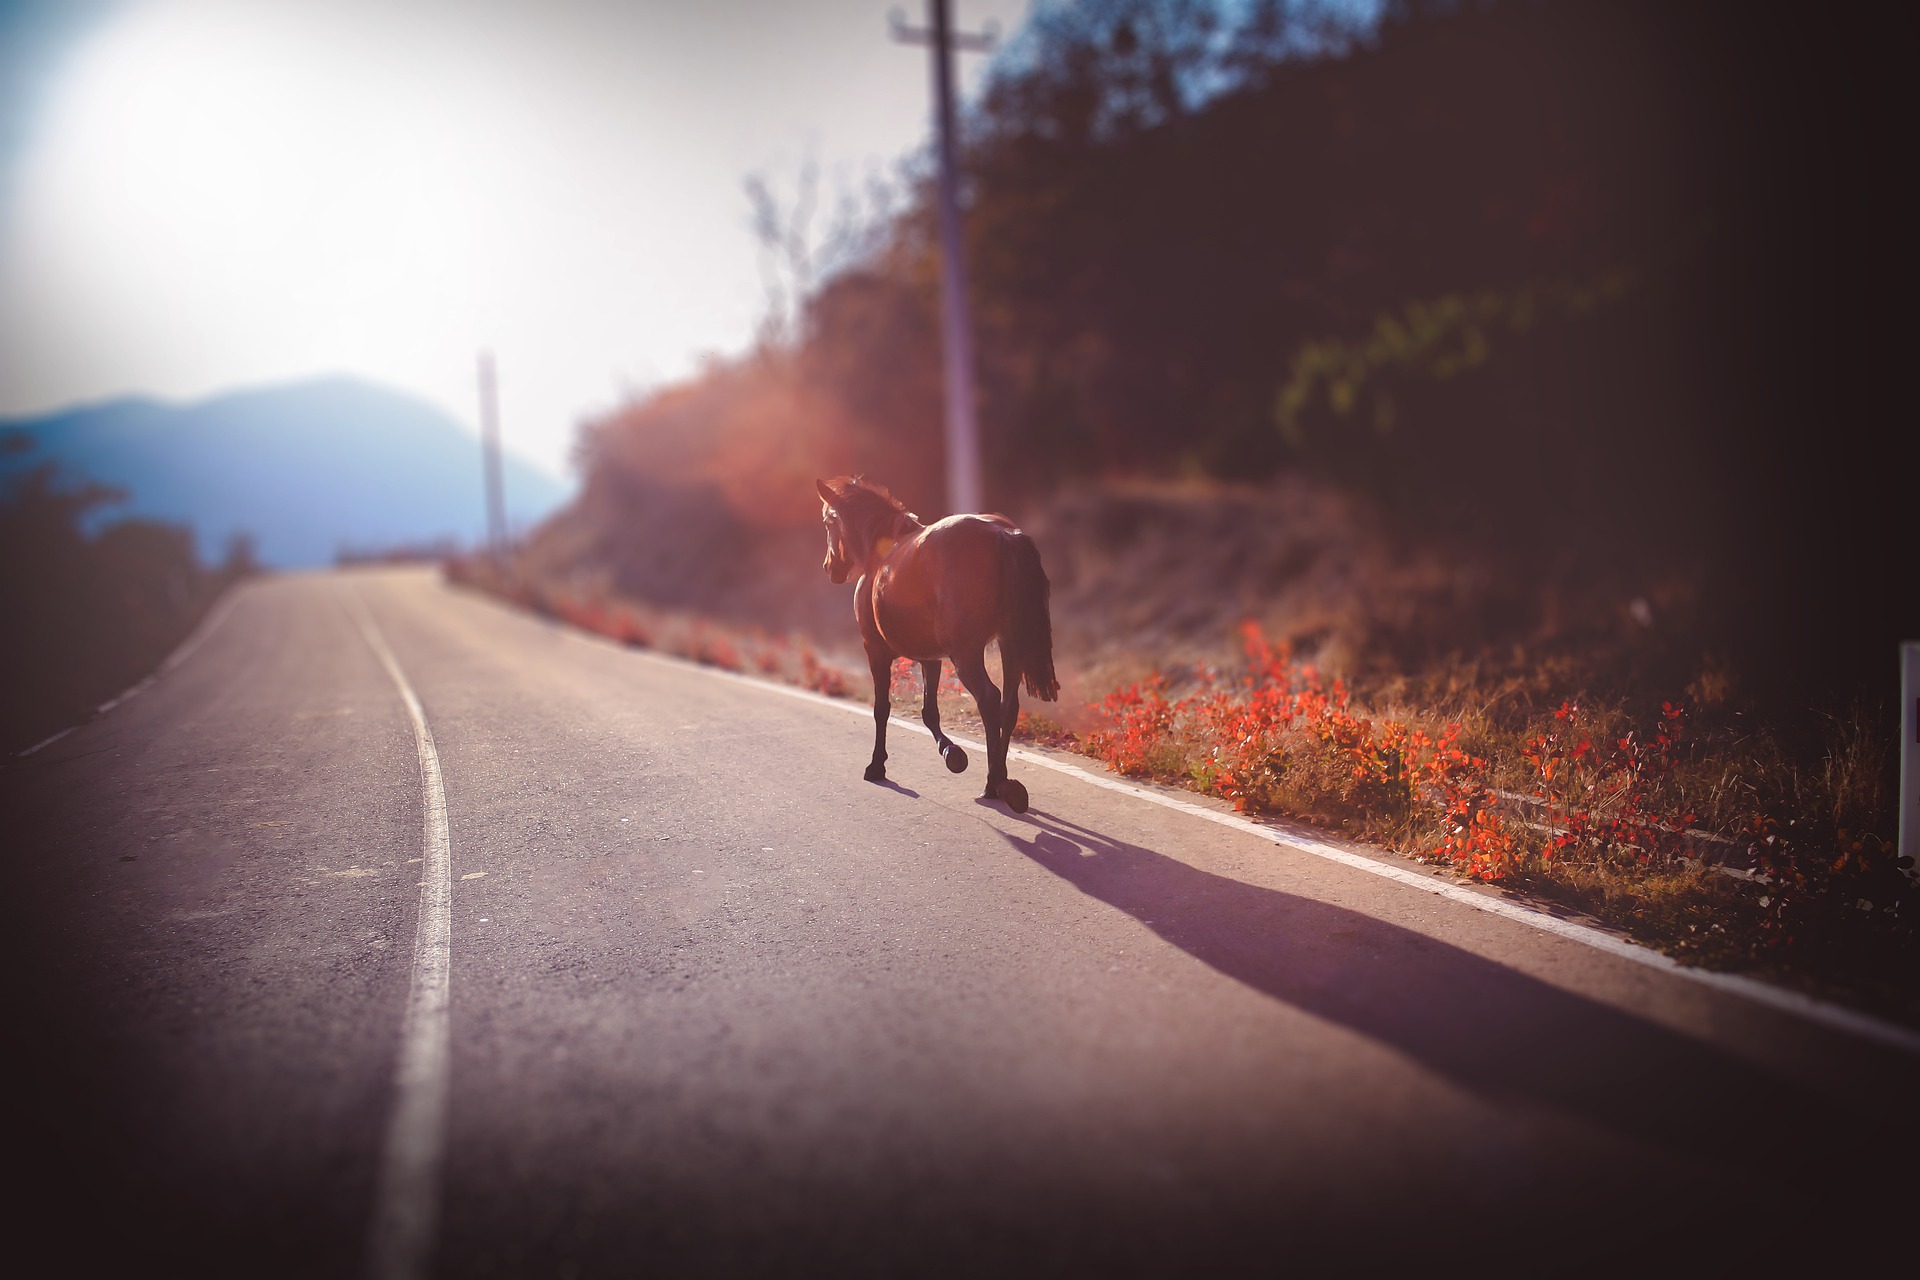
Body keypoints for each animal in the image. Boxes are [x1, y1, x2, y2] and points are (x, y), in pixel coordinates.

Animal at [814, 475, 1067, 817]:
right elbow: (929, 713)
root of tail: (1004, 534)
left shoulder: (876, 652)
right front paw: (952, 754)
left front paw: (877, 766)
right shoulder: (930, 658)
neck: (879, 554)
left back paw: (995, 783)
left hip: (967, 655)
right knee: (1008, 706)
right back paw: (1002, 782)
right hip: (1009, 645)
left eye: (828, 521)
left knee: (989, 699)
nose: (830, 568)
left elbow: (882, 709)